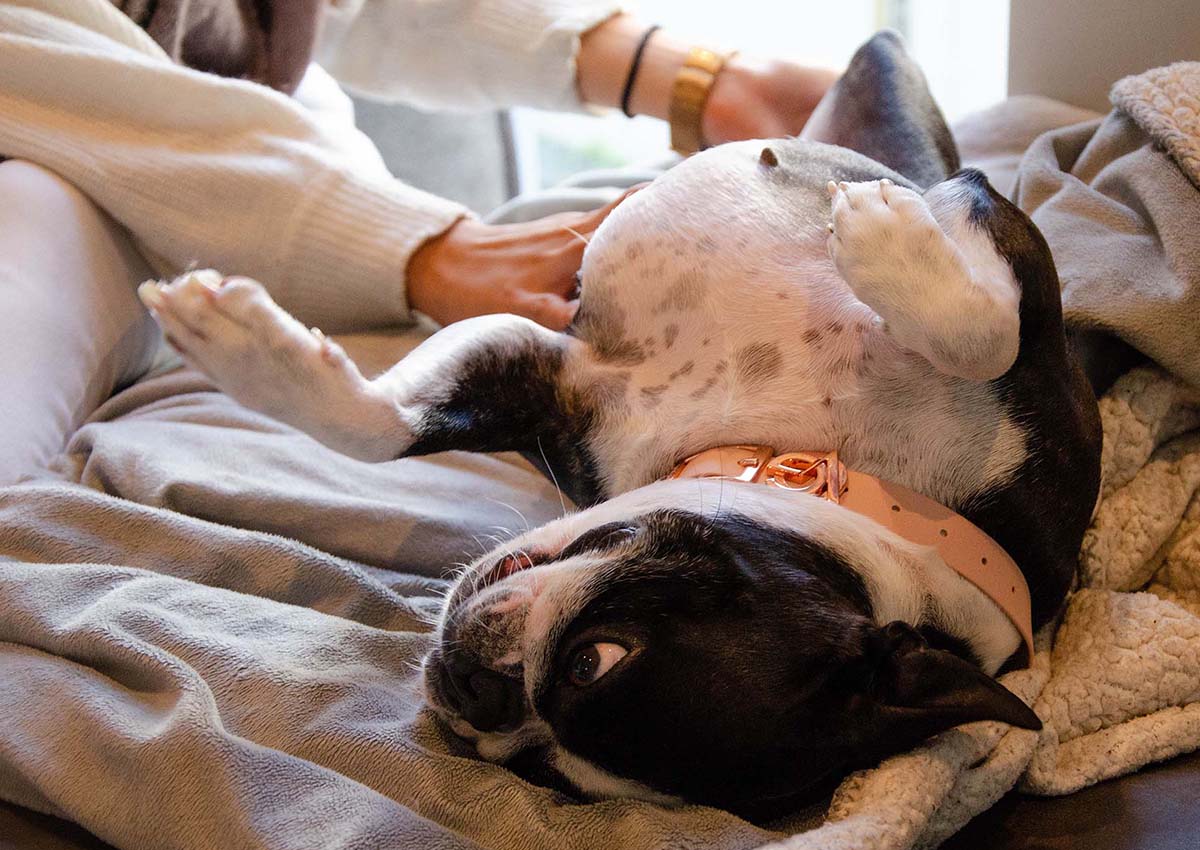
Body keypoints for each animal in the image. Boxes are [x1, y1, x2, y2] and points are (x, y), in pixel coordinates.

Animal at [138, 33, 1099, 816]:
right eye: (600, 655)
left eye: (542, 768)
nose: (479, 699)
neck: (852, 468)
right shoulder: (1000, 240)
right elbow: (383, 426)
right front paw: (243, 349)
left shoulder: (547, 375)